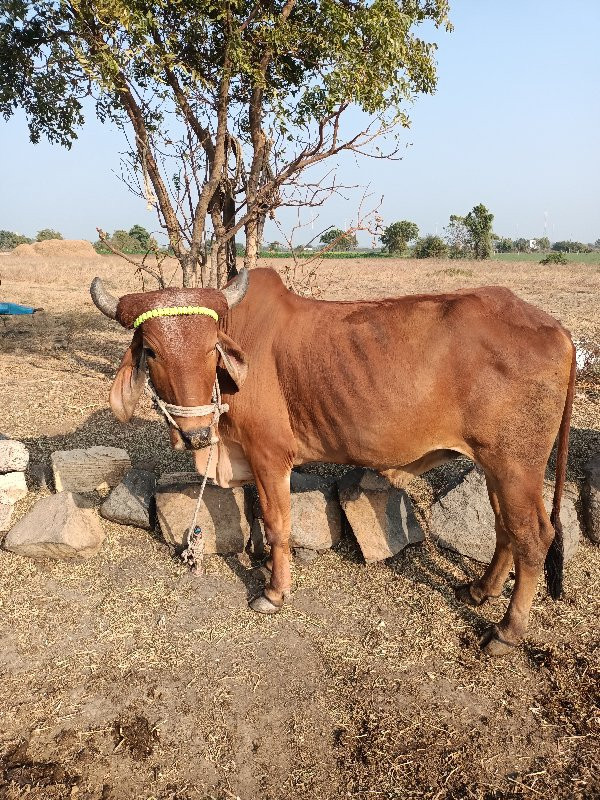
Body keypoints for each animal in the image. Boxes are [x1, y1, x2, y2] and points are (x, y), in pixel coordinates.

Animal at [90, 268, 576, 656]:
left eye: (213, 348)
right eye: (151, 351)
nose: (197, 433)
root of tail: (557, 329)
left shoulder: (269, 455)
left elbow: (277, 523)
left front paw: (274, 591)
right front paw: (264, 565)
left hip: (515, 466)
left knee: (533, 536)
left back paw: (506, 632)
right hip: (497, 466)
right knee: (505, 528)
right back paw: (478, 590)